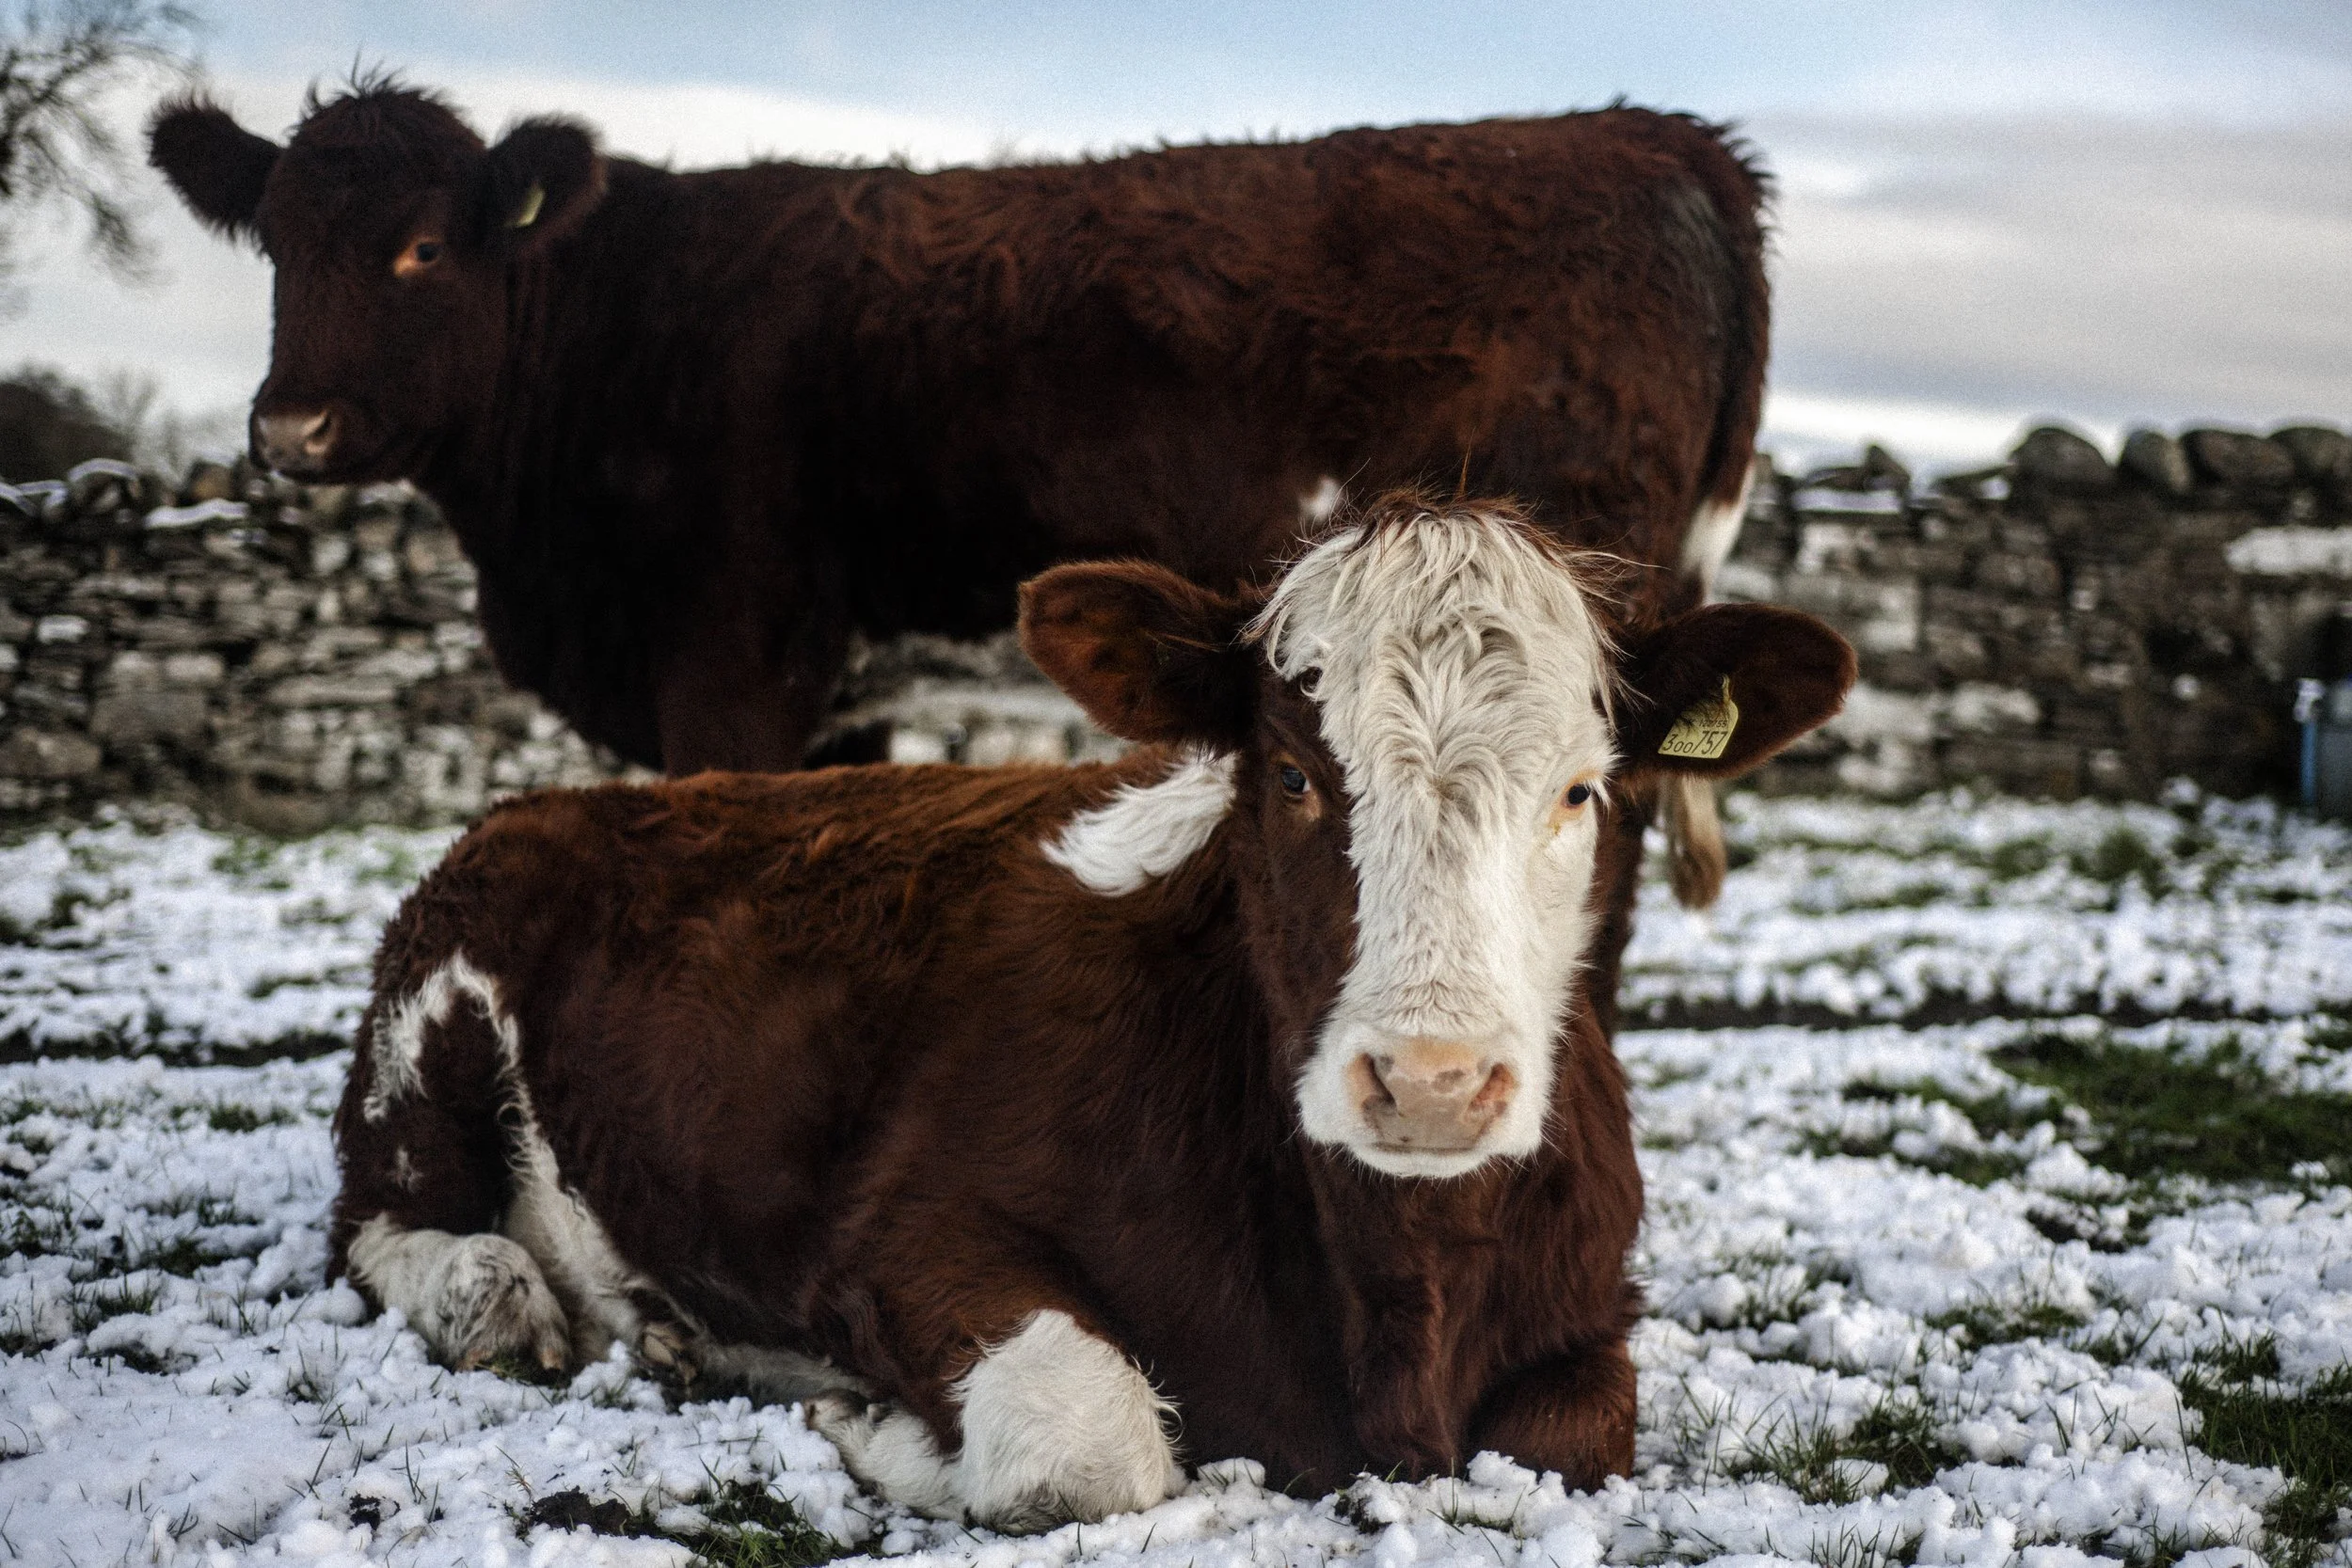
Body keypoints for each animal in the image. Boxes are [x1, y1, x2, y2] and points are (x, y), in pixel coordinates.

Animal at [329, 493, 1853, 1530]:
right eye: (1290, 774)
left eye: (1583, 789)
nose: (1428, 1079)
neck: (1394, 1294)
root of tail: (571, 798)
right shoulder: (897, 1233)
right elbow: (1093, 1439)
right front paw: (873, 1425)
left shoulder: (1583, 1300)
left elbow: (1566, 1443)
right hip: (425, 1028)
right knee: (380, 1221)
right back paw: (501, 1295)